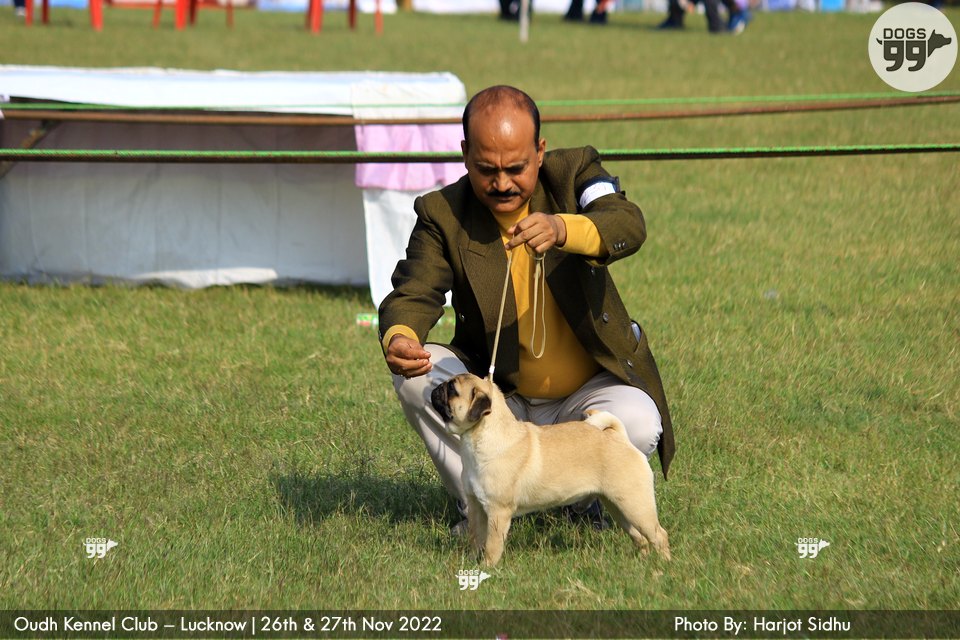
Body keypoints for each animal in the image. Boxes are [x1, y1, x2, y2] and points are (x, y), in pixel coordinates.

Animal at [430, 373, 670, 566]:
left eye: (452, 390)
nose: (437, 387)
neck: (482, 437)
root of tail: (619, 437)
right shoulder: (477, 507)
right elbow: (476, 538)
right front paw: (471, 562)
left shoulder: (498, 512)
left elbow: (492, 545)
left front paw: (486, 568)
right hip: (618, 506)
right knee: (639, 536)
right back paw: (642, 561)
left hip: (635, 505)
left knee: (659, 535)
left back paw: (663, 567)